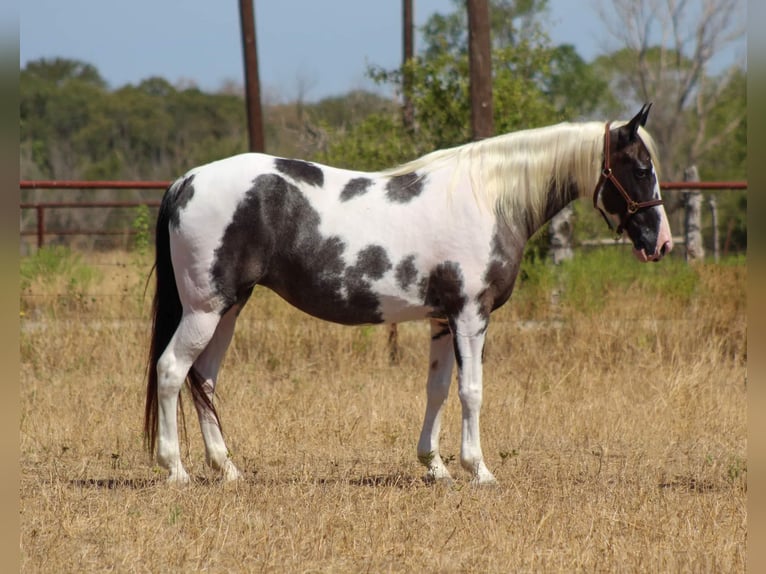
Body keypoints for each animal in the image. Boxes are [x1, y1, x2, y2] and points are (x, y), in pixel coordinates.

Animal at [144, 104, 672, 486]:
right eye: (639, 167)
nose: (661, 243)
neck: (489, 198)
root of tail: (185, 181)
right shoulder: (470, 316)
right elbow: (472, 390)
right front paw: (479, 470)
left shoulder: (441, 320)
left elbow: (436, 389)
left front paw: (434, 467)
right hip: (204, 310)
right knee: (171, 371)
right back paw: (176, 471)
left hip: (228, 308)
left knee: (204, 380)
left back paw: (228, 470)